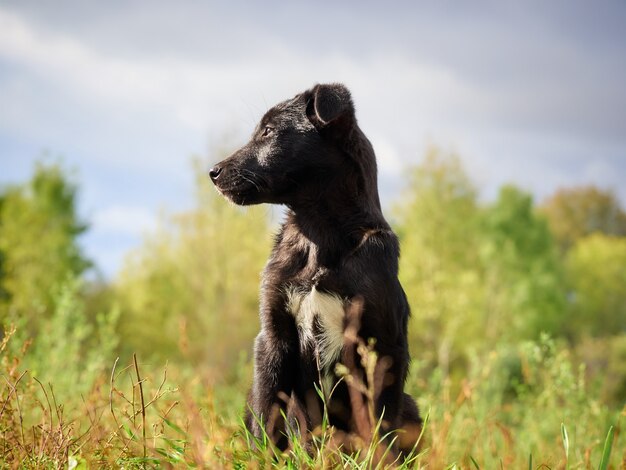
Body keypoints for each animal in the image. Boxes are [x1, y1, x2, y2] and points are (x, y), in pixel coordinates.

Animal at [210, 83, 420, 452]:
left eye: (268, 131)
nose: (213, 172)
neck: (318, 235)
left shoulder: (384, 345)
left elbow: (380, 422)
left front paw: (376, 458)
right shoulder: (273, 336)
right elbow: (267, 414)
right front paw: (260, 457)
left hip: (411, 406)